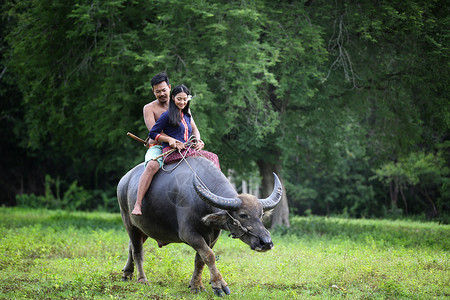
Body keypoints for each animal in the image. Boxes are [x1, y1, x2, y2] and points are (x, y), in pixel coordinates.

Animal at [118, 156, 284, 296]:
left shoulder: (212, 236)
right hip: (129, 222)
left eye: (261, 215)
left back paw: (127, 273)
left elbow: (200, 259)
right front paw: (219, 285)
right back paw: (142, 279)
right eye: (243, 215)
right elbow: (209, 255)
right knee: (138, 251)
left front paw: (196, 285)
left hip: (144, 228)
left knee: (131, 245)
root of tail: (124, 180)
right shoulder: (188, 233)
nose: (266, 242)